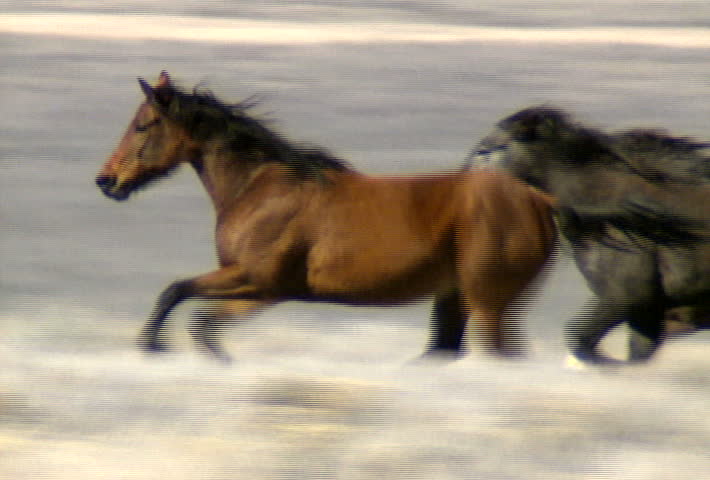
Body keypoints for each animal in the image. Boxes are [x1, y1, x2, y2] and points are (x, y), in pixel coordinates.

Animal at [95, 72, 557, 362]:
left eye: (143, 124)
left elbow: (182, 300)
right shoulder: (258, 290)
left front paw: (152, 346)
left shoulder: (259, 282)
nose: (106, 180)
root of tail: (540, 201)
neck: (259, 190)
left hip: (488, 302)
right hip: (459, 299)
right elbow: (197, 319)